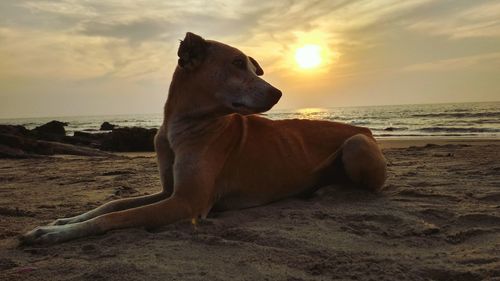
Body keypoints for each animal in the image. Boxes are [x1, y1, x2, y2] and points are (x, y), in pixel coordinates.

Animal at [20, 31, 386, 244]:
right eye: (237, 63)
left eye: (252, 67)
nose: (279, 92)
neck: (180, 127)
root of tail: (363, 129)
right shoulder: (169, 191)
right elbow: (113, 204)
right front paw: (65, 219)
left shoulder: (188, 202)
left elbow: (115, 217)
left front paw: (55, 233)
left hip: (355, 146)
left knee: (370, 187)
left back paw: (328, 189)